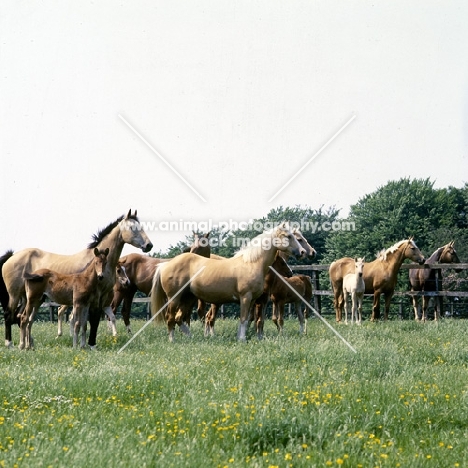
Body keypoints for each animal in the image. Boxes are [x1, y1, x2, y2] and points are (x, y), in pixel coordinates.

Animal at [0, 210, 153, 350]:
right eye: (132, 227)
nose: (149, 245)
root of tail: (11, 257)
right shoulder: (92, 298)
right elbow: (90, 319)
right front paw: (89, 344)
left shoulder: (100, 297)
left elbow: (91, 320)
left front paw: (88, 344)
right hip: (15, 295)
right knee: (9, 315)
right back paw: (10, 344)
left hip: (29, 297)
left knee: (22, 317)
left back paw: (29, 344)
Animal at [152, 223, 306, 340]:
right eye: (289, 236)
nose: (302, 252)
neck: (251, 263)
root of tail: (166, 264)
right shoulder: (246, 297)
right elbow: (244, 319)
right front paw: (242, 340)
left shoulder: (252, 301)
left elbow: (248, 320)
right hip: (174, 298)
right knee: (170, 318)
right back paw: (172, 340)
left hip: (188, 297)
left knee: (179, 318)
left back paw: (192, 338)